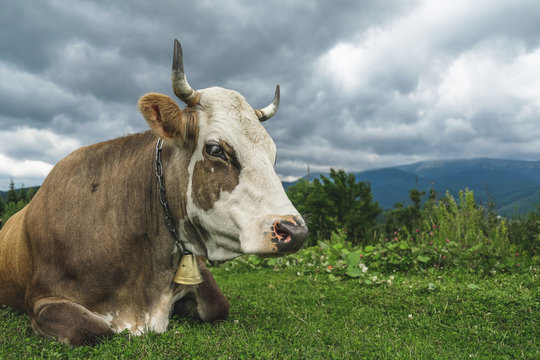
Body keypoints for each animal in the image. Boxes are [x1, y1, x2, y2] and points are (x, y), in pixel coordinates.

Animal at [0, 39, 306, 346]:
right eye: (215, 149)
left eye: (273, 155)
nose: (295, 231)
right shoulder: (43, 300)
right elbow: (92, 328)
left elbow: (219, 306)